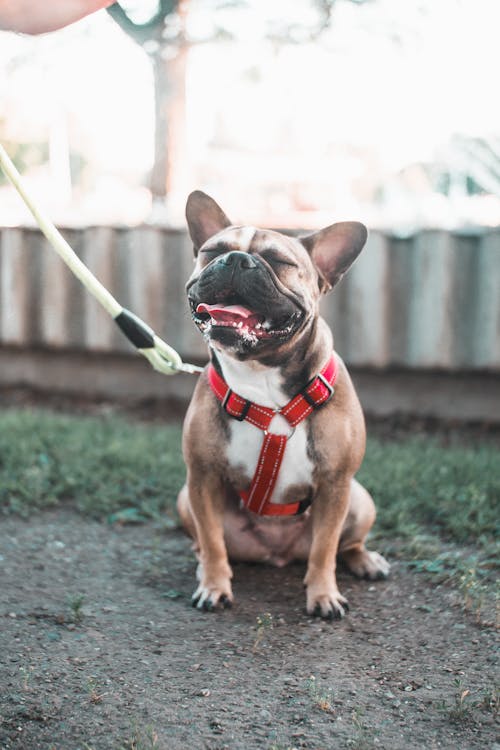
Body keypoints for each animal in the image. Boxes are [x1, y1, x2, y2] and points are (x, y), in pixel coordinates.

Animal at [177, 191, 390, 620]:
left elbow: (324, 550)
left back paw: (365, 560)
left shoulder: (336, 484)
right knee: (207, 542)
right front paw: (214, 585)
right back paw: (201, 563)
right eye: (212, 252)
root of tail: (276, 554)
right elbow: (213, 542)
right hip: (185, 497)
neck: (261, 377)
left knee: (345, 545)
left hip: (360, 499)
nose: (235, 260)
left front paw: (323, 595)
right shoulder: (202, 477)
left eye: (280, 262)